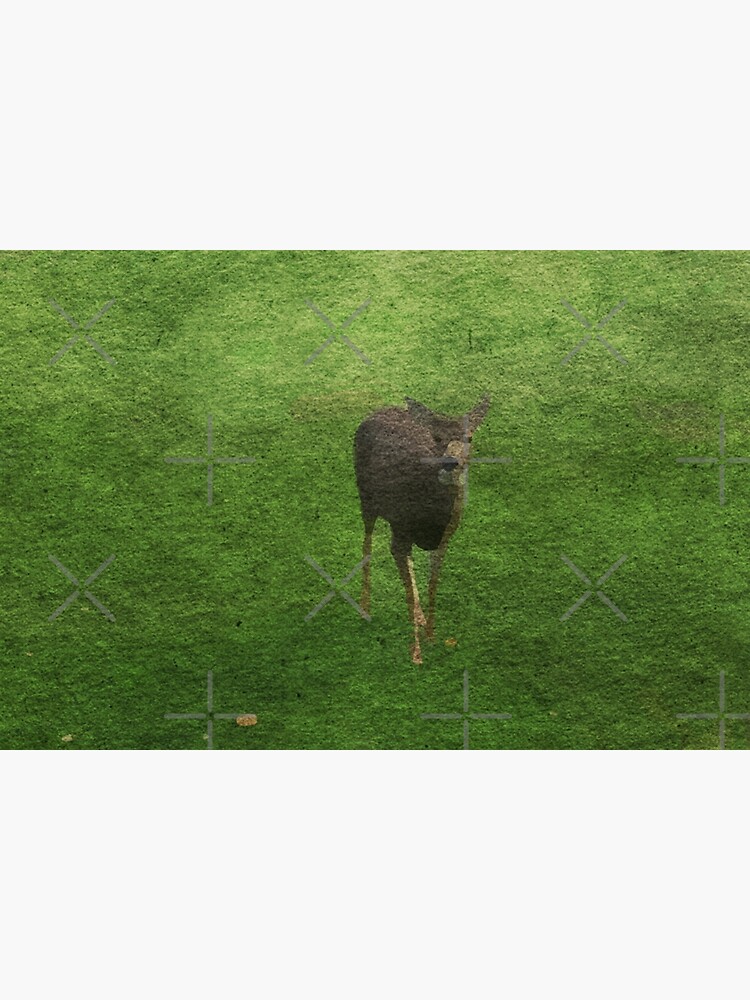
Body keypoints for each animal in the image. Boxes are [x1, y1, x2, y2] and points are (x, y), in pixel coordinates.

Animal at [353, 394, 490, 664]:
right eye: (435, 437)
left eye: (469, 437)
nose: (450, 462)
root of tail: (378, 411)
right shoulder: (400, 534)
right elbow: (408, 589)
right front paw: (416, 654)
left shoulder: (445, 538)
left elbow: (432, 584)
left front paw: (431, 636)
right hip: (366, 497)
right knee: (367, 543)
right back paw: (365, 609)